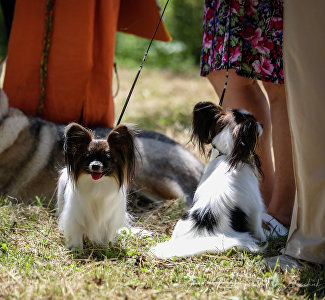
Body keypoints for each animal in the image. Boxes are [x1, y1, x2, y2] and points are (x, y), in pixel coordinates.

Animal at [151, 101, 268, 258]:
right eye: (254, 123)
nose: (262, 124)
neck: (227, 155)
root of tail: (200, 234)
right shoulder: (255, 205)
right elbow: (258, 226)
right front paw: (265, 237)